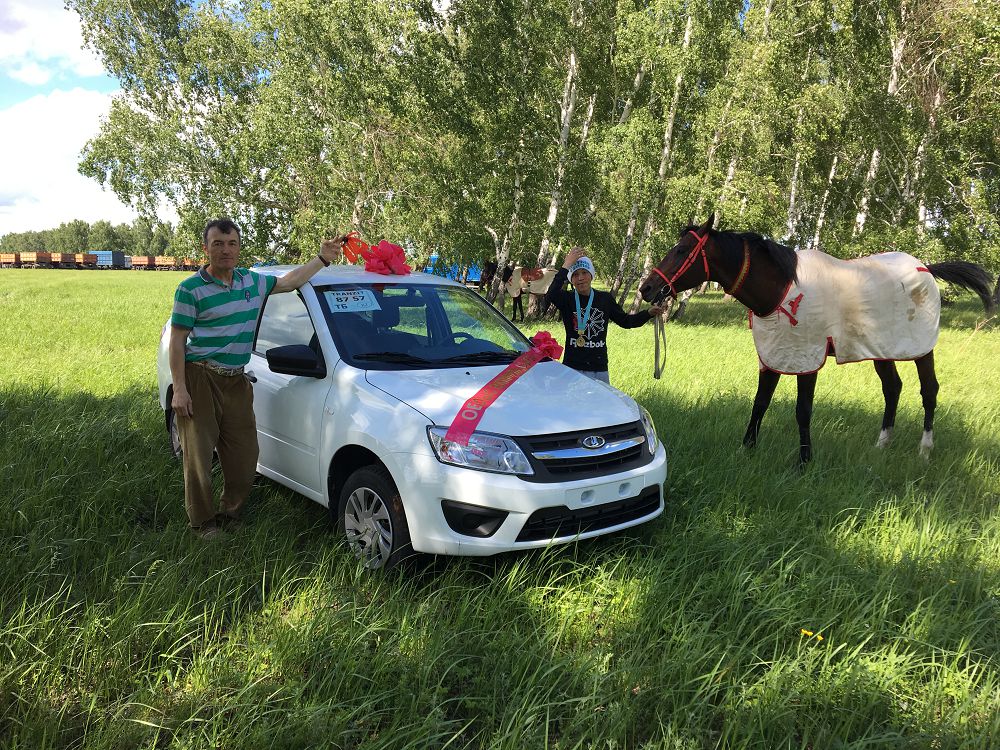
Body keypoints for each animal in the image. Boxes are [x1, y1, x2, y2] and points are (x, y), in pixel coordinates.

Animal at [640, 214, 992, 464]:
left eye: (682, 250)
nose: (647, 288)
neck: (780, 290)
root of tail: (925, 268)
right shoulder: (773, 356)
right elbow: (760, 403)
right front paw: (746, 449)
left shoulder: (806, 359)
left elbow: (803, 410)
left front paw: (805, 460)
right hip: (881, 349)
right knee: (892, 388)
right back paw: (881, 444)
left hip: (920, 349)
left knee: (929, 390)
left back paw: (925, 449)